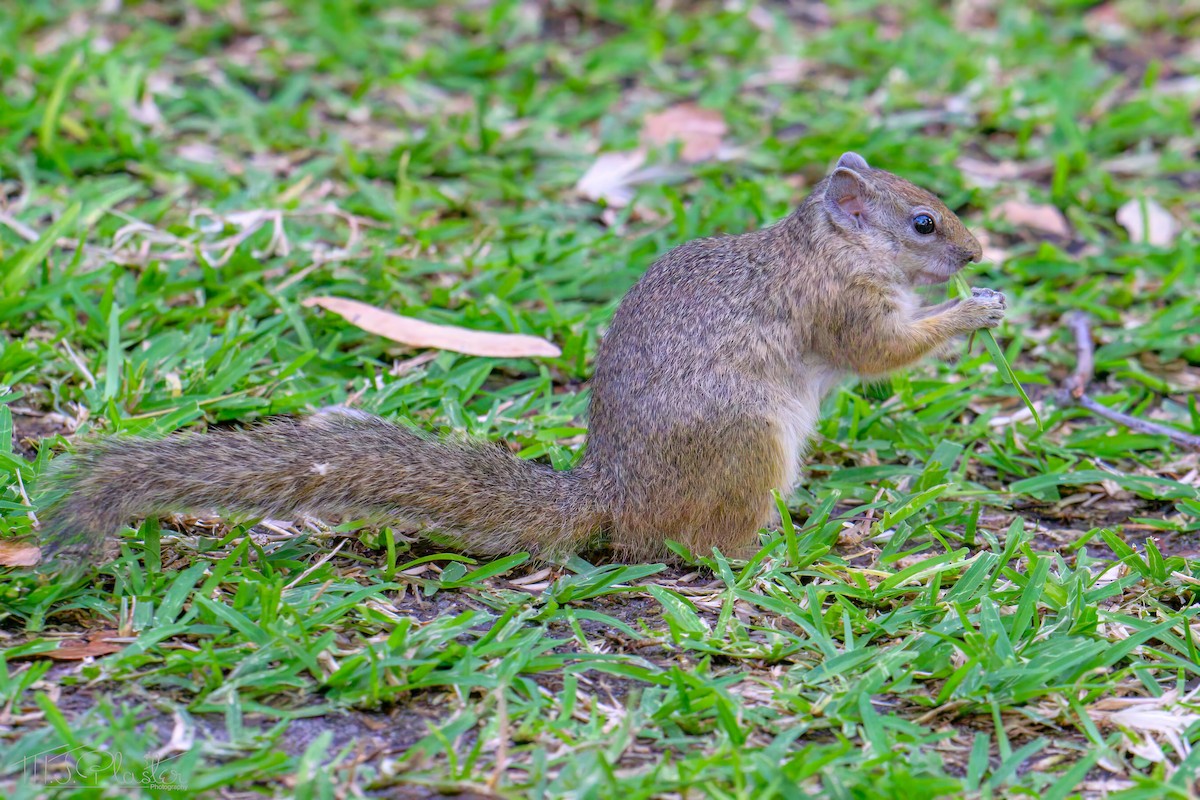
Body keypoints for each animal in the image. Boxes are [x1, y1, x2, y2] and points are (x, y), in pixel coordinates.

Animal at [38, 152, 1004, 566]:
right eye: (923, 222)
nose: (978, 253)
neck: (826, 247)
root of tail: (611, 494)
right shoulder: (839, 306)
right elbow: (879, 352)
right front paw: (973, 312)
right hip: (747, 445)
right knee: (693, 546)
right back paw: (784, 551)